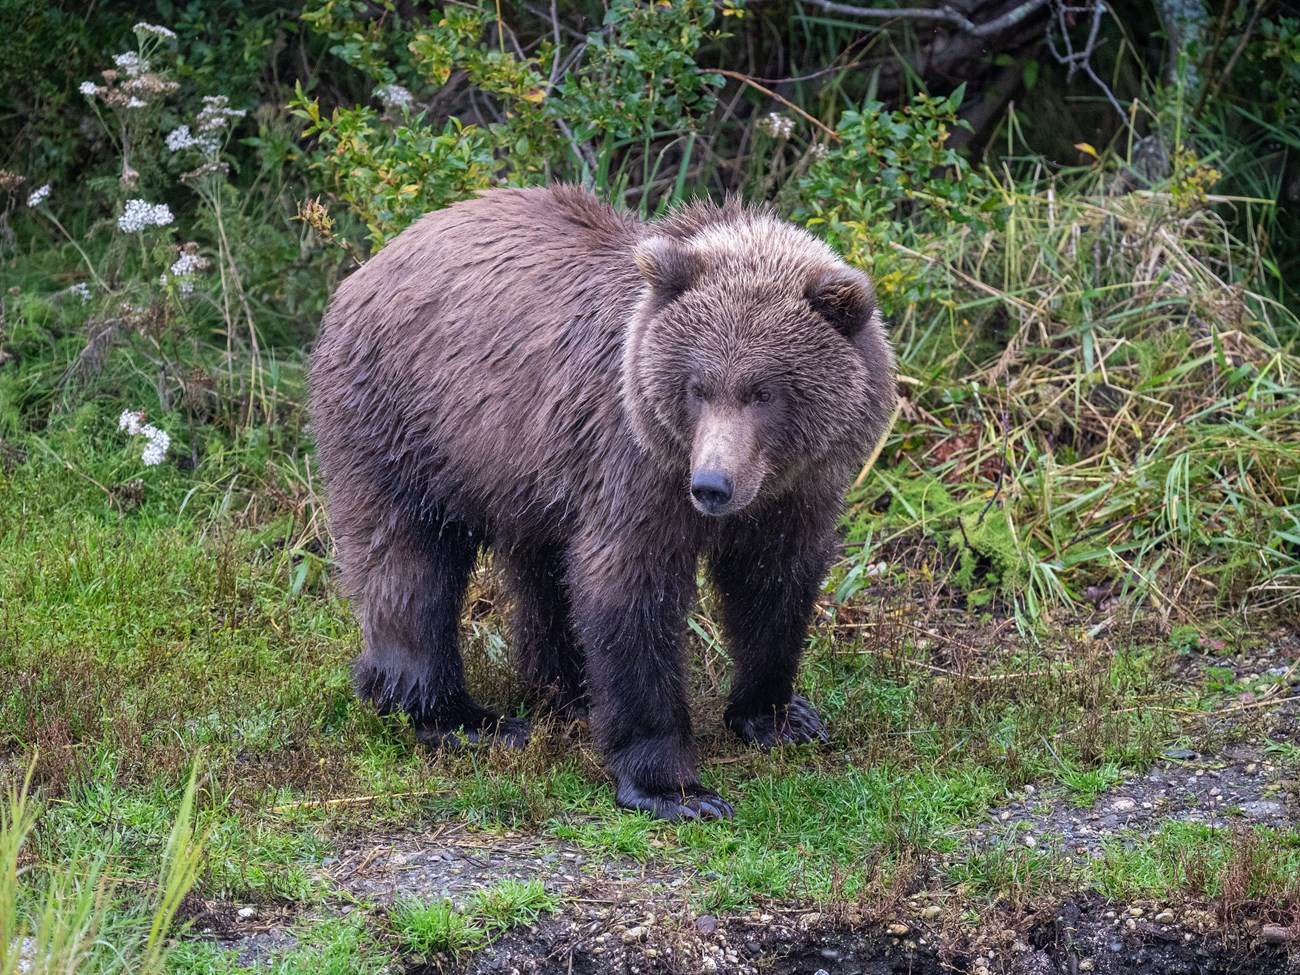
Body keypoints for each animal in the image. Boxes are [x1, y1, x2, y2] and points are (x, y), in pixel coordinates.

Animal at [308, 184, 894, 826]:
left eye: (764, 391)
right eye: (698, 387)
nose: (712, 486)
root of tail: (370, 263)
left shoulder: (796, 494)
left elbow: (774, 586)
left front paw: (780, 717)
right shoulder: (637, 466)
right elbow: (628, 592)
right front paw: (676, 788)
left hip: (530, 472)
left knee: (541, 573)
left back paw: (566, 693)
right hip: (408, 422)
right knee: (411, 564)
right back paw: (460, 717)